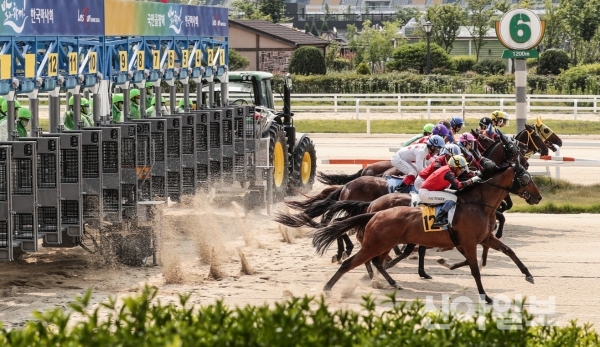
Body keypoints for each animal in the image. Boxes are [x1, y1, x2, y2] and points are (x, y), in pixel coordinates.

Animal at [312, 160, 540, 304]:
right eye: (526, 177)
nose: (538, 197)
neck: (478, 204)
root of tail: (374, 211)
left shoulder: (485, 238)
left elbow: (509, 250)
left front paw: (528, 274)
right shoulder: (468, 242)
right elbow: (475, 269)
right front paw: (485, 296)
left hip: (382, 244)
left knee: (377, 261)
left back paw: (388, 281)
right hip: (374, 244)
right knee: (352, 263)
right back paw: (329, 287)